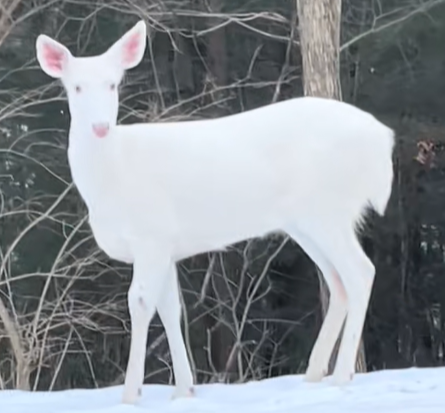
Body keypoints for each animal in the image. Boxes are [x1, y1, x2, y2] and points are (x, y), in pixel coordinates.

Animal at [35, 20, 392, 404]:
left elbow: (140, 303)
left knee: (360, 272)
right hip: (306, 221)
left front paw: (131, 395)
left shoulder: (151, 235)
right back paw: (313, 375)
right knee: (338, 282)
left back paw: (341, 376)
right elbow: (171, 308)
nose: (100, 126)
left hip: (327, 207)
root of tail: (383, 140)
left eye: (113, 83)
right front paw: (185, 389)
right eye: (76, 86)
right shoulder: (166, 244)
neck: (113, 176)